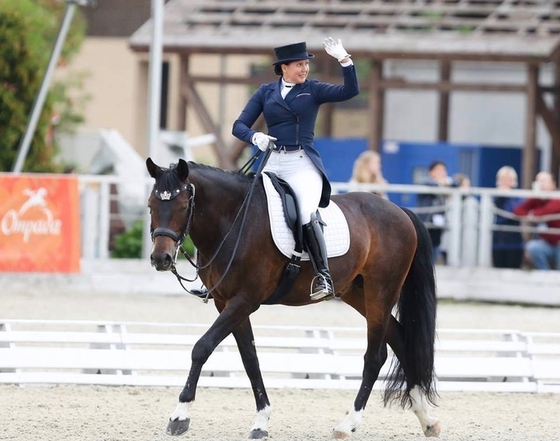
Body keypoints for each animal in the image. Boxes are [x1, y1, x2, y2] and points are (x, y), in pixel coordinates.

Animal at [145, 157, 442, 436]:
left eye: (183, 207)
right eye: (150, 206)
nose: (161, 259)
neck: (234, 221)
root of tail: (399, 211)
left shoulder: (245, 300)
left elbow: (202, 347)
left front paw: (179, 416)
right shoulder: (226, 303)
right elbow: (250, 359)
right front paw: (261, 421)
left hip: (382, 291)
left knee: (375, 356)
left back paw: (348, 424)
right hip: (358, 293)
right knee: (400, 341)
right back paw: (427, 420)